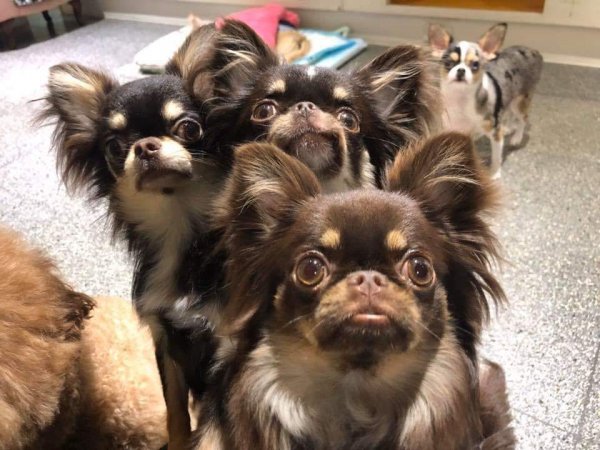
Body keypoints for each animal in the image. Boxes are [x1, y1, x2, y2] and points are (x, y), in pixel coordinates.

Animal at [428, 23, 543, 178]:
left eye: (475, 65)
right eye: (448, 63)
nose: (461, 70)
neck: (461, 101)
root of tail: (532, 50)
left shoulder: (495, 134)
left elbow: (496, 157)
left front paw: (494, 173)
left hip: (520, 102)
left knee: (523, 119)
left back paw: (517, 137)